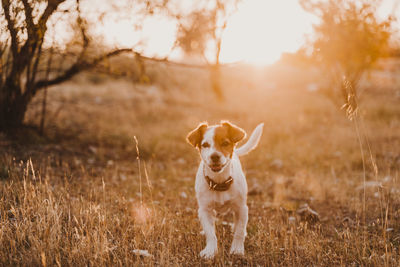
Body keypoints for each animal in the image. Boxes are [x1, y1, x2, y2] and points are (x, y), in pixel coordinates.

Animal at [187, 121, 264, 260]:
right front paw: (210, 251)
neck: (219, 182)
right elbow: (210, 233)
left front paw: (237, 249)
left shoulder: (242, 208)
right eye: (205, 145)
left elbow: (239, 231)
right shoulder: (204, 210)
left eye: (225, 143)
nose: (214, 156)